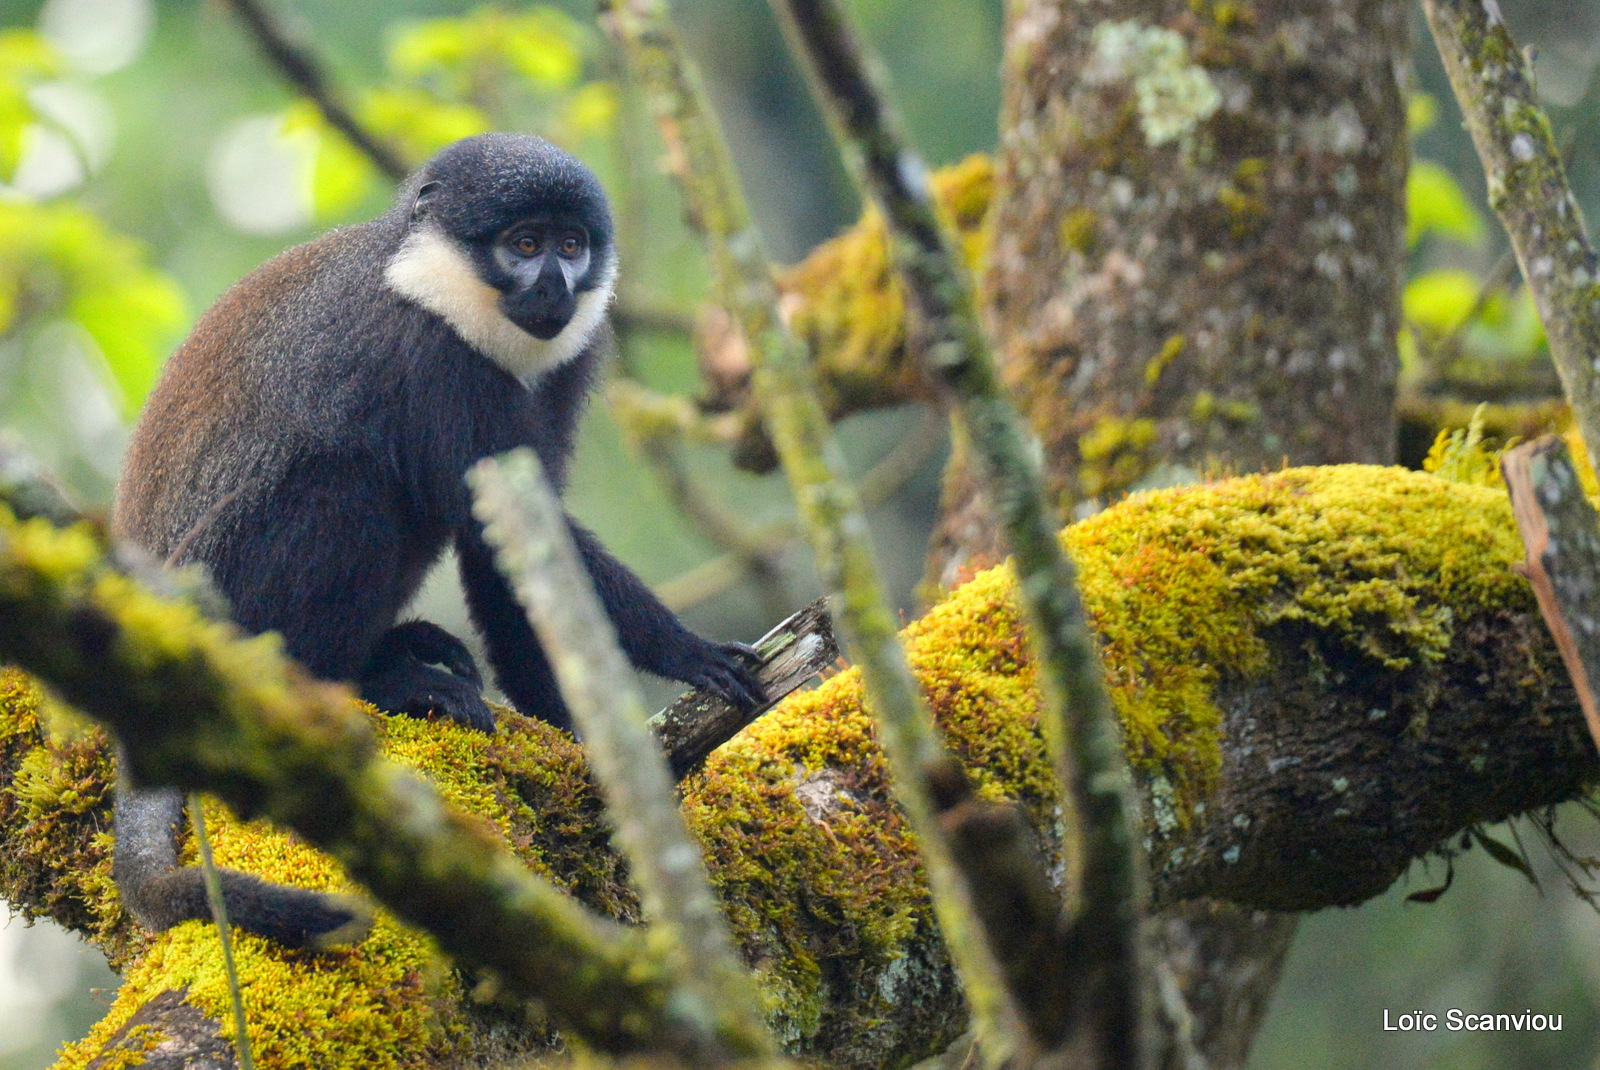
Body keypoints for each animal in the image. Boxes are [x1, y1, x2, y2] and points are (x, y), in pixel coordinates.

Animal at [108, 131, 768, 940]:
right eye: (524, 245)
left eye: (571, 246)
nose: (555, 288)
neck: (430, 284)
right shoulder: (424, 353)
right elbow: (500, 528)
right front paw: (686, 652)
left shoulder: (571, 362)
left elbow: (512, 546)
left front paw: (576, 739)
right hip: (219, 591)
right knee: (345, 490)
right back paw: (369, 680)